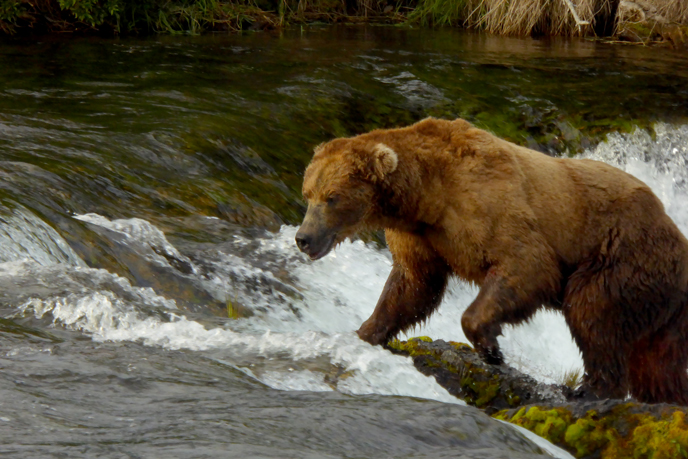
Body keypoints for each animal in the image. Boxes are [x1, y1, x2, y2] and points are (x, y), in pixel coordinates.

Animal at [296, 117, 688, 404]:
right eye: (308, 193)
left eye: (332, 197)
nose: (303, 238)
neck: (425, 195)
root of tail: (675, 233)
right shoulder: (421, 236)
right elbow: (412, 285)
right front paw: (366, 331)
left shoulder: (485, 204)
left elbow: (526, 265)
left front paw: (491, 350)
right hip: (661, 310)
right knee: (657, 363)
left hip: (621, 256)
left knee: (592, 312)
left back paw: (588, 390)